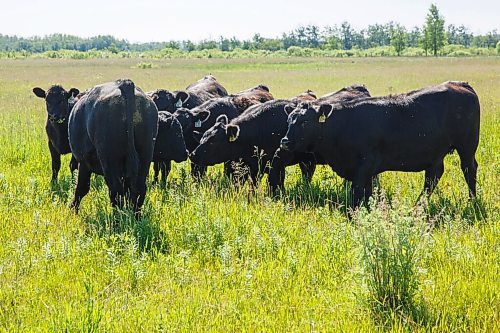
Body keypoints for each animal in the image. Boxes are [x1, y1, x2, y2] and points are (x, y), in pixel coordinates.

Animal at [69, 79, 158, 211]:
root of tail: (124, 83)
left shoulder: (84, 162)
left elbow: (81, 187)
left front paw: (72, 209)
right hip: (145, 157)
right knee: (138, 189)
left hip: (109, 160)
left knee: (116, 190)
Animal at [282, 81, 480, 208]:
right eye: (289, 120)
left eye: (305, 122)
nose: (284, 141)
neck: (342, 125)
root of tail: (461, 84)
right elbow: (366, 194)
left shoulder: (364, 166)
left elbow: (356, 195)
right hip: (435, 154)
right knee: (433, 177)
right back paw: (418, 205)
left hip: (467, 147)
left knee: (469, 169)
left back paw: (471, 201)